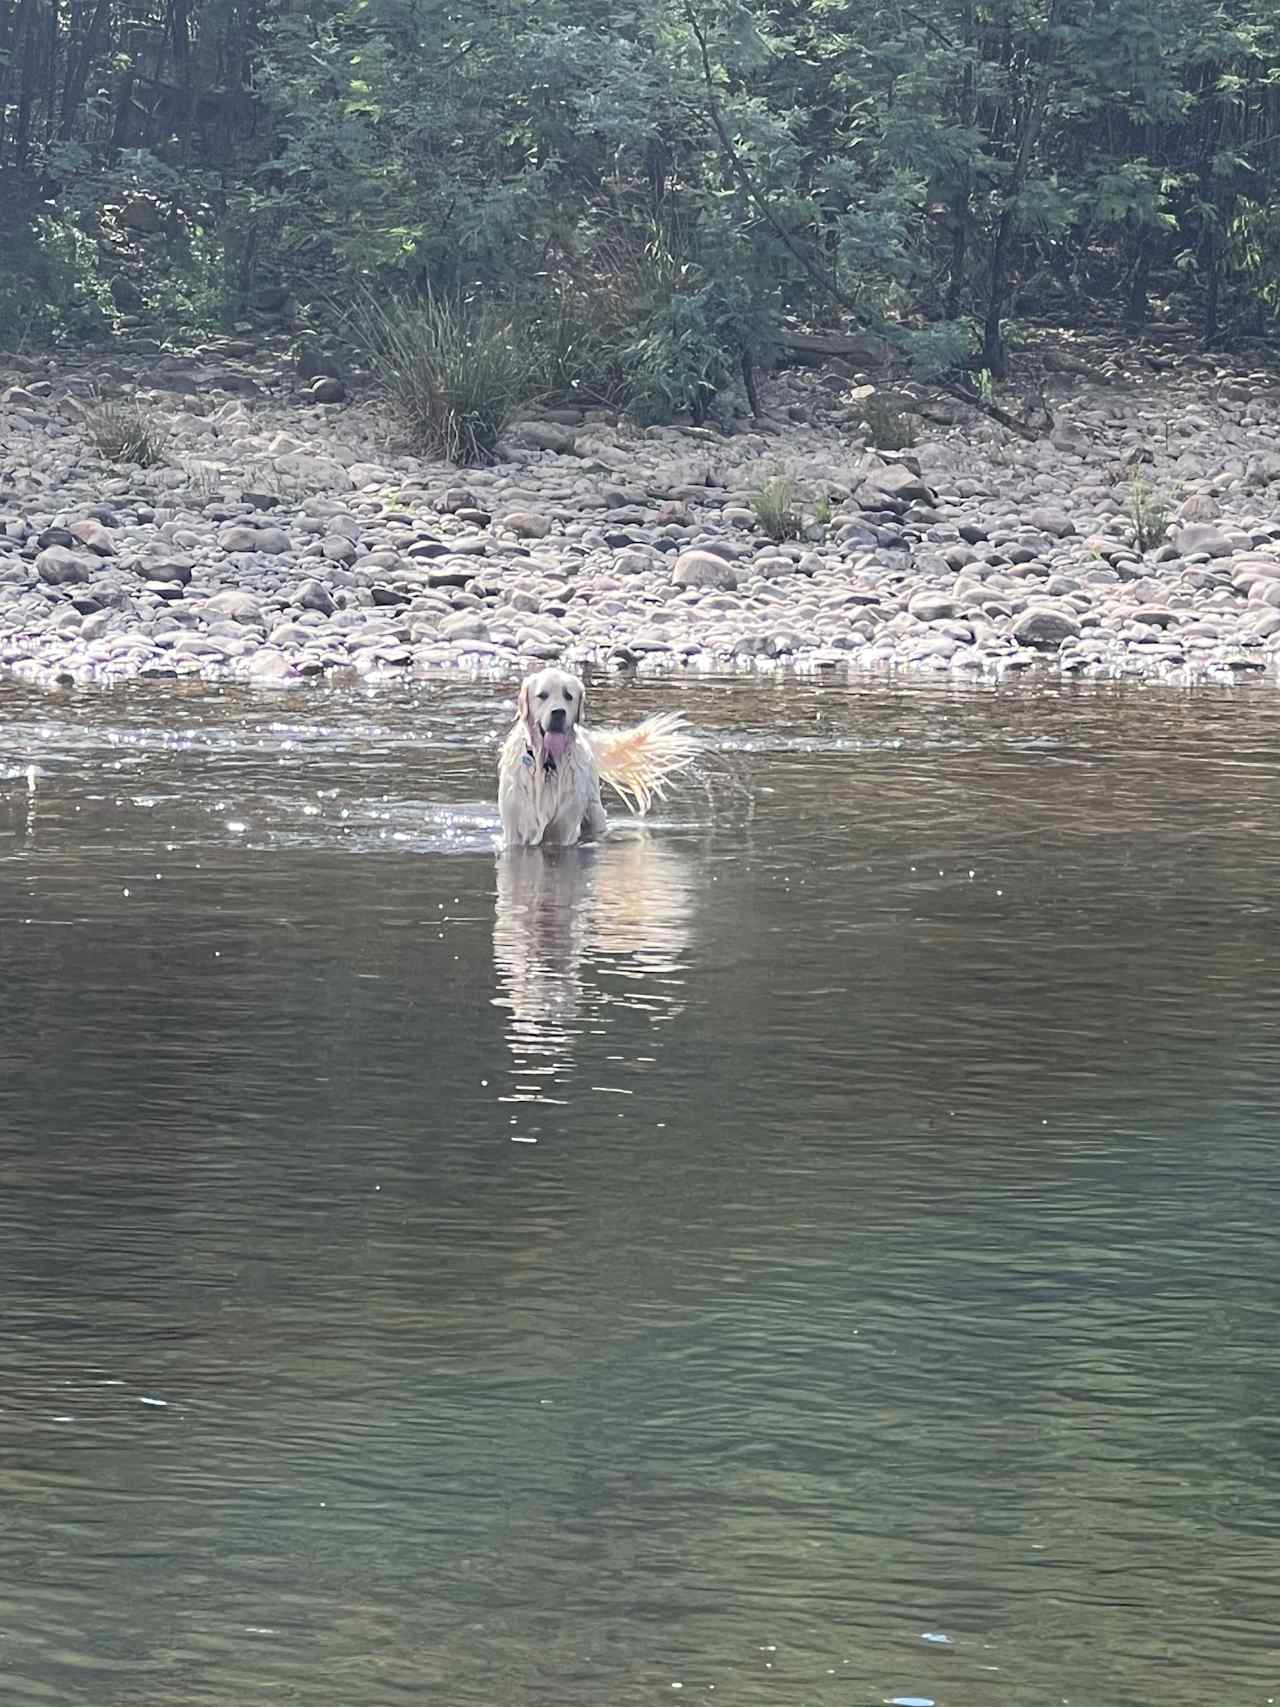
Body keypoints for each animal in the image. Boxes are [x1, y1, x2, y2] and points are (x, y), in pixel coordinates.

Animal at [501, 669, 703, 850]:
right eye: (542, 695)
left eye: (568, 696)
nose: (558, 712)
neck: (548, 765)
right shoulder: (517, 830)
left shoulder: (564, 830)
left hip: (594, 811)